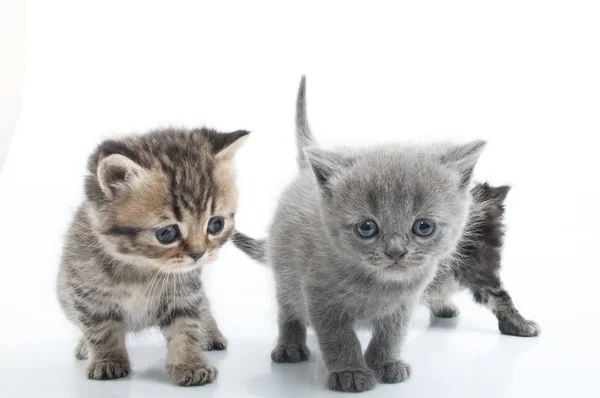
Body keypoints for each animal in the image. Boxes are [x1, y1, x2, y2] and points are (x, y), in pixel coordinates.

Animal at [56, 127, 248, 386]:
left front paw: (190, 364)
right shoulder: (87, 295)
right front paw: (107, 361)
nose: (198, 254)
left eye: (215, 224)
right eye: (166, 233)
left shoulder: (185, 290)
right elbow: (100, 330)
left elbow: (186, 327)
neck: (140, 267)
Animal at [232, 77, 486, 392]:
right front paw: (350, 371)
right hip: (285, 271)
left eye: (423, 227)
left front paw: (385, 363)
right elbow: (338, 337)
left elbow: (391, 335)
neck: (378, 284)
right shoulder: (320, 297)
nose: (396, 252)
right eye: (367, 227)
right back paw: (290, 346)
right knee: (288, 309)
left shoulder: (405, 302)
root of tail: (305, 172)